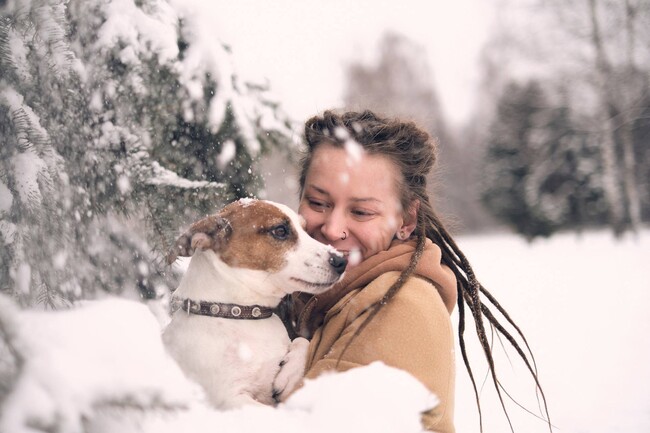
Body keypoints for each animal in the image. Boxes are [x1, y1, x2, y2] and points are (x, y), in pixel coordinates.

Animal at [161, 198, 344, 408]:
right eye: (280, 230)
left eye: (306, 230)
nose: (341, 261)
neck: (244, 314)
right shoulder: (230, 399)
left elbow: (302, 340)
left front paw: (289, 374)